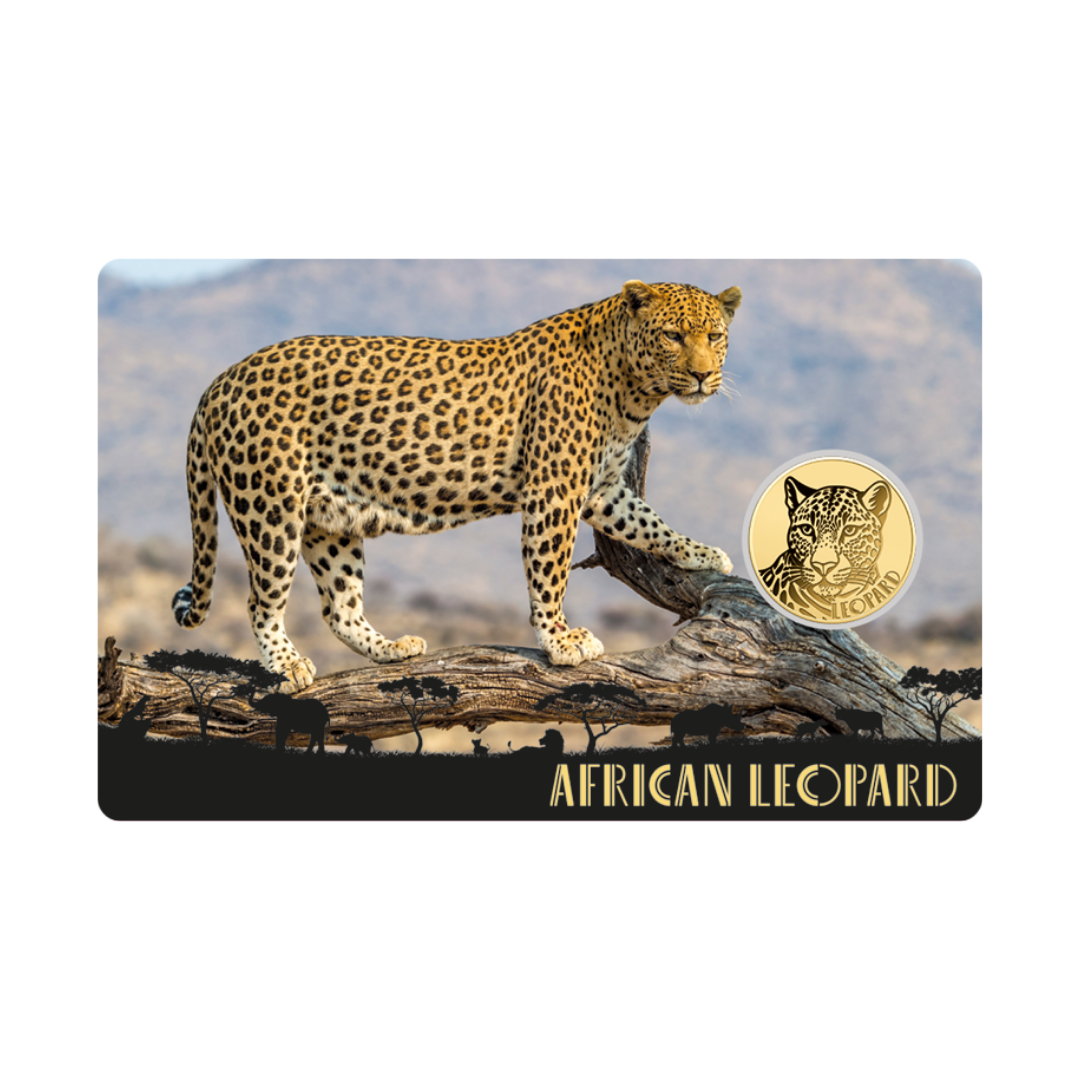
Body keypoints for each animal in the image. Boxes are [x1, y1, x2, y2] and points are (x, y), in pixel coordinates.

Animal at [173, 279, 741, 691]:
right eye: (672, 336)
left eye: (713, 337)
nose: (702, 376)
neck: (634, 392)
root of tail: (218, 382)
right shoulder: (554, 491)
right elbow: (550, 571)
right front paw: (560, 641)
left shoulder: (601, 489)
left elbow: (649, 523)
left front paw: (702, 553)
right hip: (270, 509)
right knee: (261, 602)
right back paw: (287, 665)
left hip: (328, 521)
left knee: (340, 607)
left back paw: (390, 649)